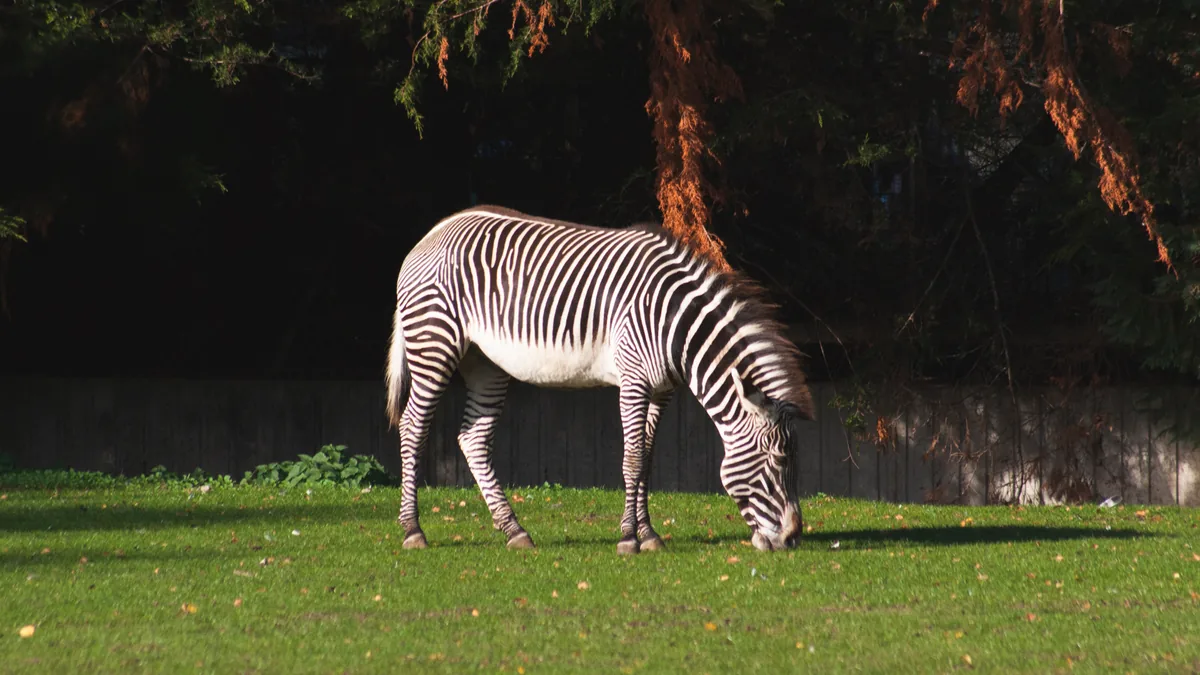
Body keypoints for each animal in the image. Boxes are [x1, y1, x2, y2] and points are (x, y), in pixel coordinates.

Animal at [385, 205, 815, 554]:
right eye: (779, 460)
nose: (792, 538)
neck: (676, 326)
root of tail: (432, 233)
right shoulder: (633, 379)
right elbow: (632, 459)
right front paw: (628, 539)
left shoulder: (661, 390)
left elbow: (647, 458)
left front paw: (649, 535)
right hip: (435, 344)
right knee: (413, 427)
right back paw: (413, 530)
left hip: (485, 363)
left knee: (472, 439)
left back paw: (514, 531)